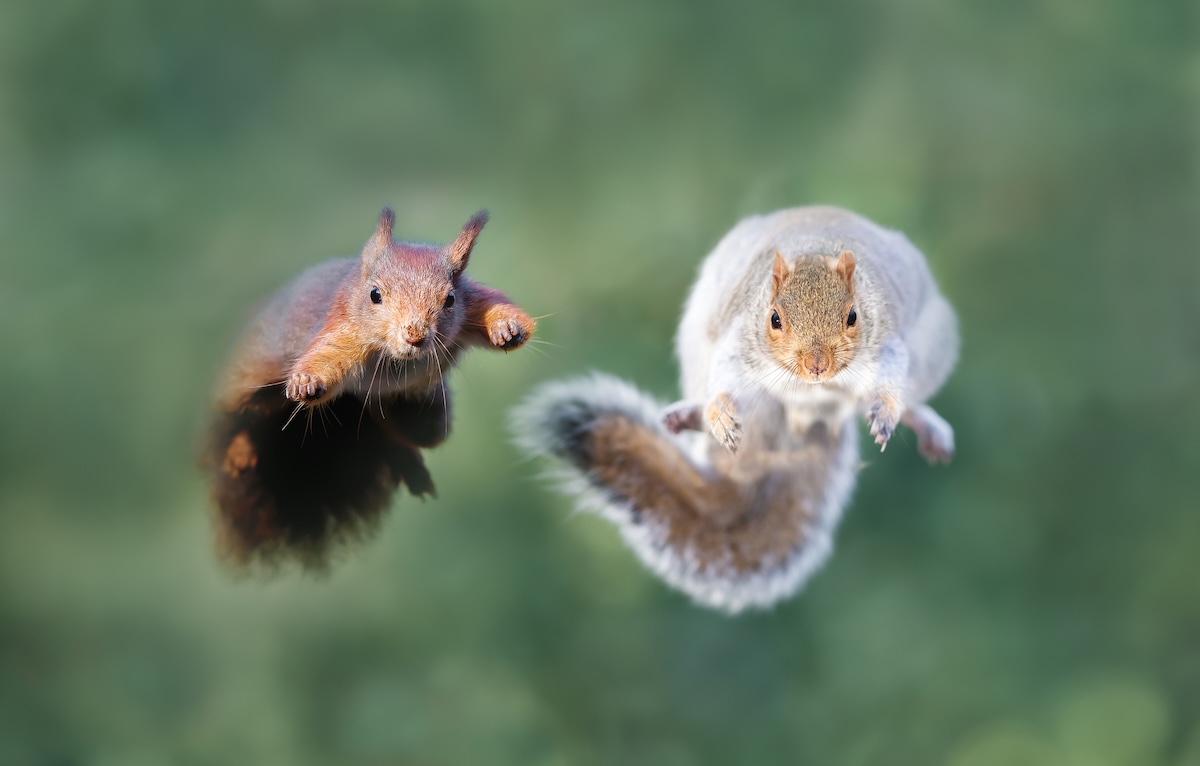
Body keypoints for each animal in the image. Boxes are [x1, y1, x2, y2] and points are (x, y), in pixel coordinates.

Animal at [206, 207, 535, 570]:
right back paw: (238, 451)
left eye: (449, 299)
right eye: (375, 295)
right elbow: (326, 356)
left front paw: (507, 327)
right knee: (239, 419)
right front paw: (307, 382)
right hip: (245, 381)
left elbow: (496, 302)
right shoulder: (344, 329)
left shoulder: (473, 299)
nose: (415, 334)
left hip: (421, 416)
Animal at [515, 206, 958, 613]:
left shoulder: (887, 344)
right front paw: (719, 415)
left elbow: (891, 380)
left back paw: (924, 422)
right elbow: (726, 377)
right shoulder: (738, 342)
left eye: (852, 316)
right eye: (774, 319)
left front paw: (886, 412)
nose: (817, 365)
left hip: (935, 346)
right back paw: (692, 415)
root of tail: (805, 421)